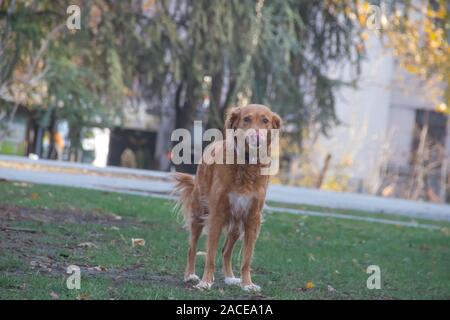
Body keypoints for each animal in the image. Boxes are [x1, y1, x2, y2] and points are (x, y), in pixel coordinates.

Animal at [175, 104, 282, 292]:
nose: (256, 137)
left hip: (237, 224)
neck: (246, 165)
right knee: (192, 248)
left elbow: (246, 258)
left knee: (226, 251)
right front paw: (206, 281)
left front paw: (247, 284)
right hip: (199, 214)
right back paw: (190, 275)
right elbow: (210, 255)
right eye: (246, 119)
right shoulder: (217, 215)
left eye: (265, 120)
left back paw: (230, 278)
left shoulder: (252, 218)